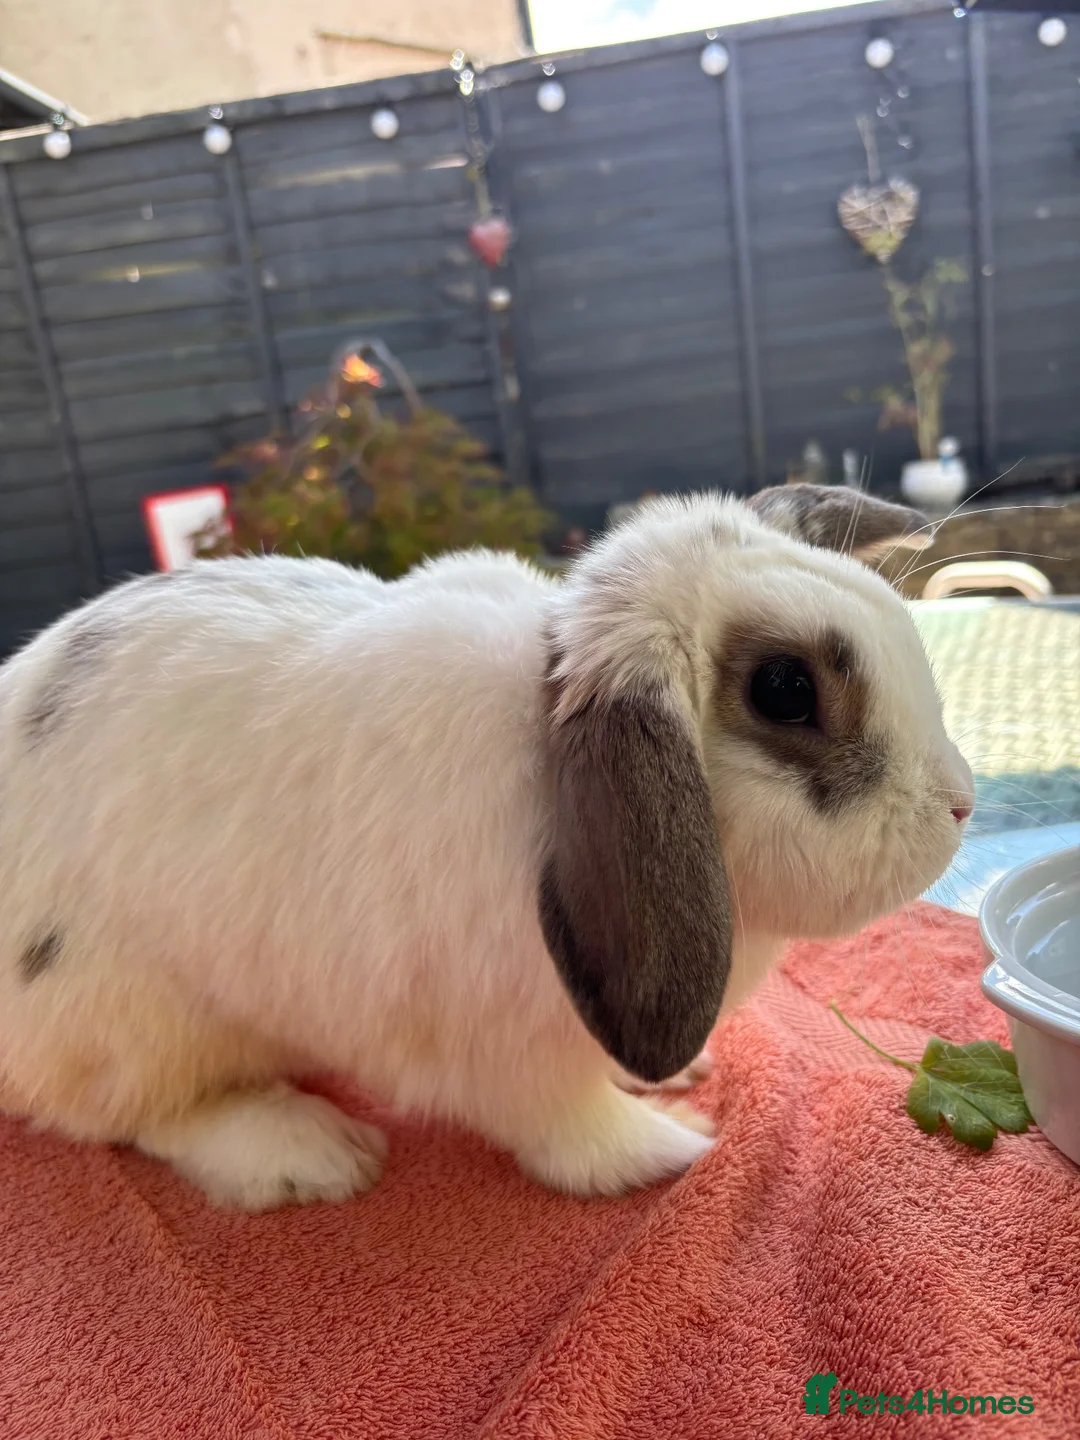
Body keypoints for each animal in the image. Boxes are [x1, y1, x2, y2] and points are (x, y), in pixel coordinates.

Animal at [0, 484, 974, 1210]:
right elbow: (574, 1138)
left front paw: (680, 1077)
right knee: (136, 1114)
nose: (962, 803)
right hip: (132, 1018)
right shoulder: (512, 1060)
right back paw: (312, 1153)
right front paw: (680, 1146)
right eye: (785, 689)